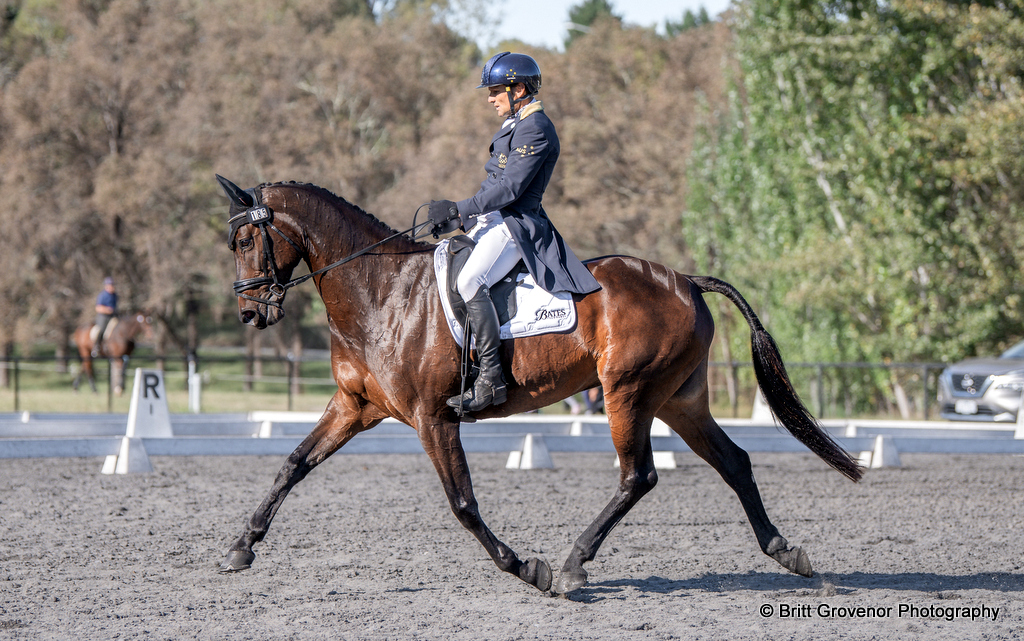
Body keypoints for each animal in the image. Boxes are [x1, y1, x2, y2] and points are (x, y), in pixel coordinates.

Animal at [215, 176, 862, 594]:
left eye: (246, 241)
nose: (249, 314)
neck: (381, 292)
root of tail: (684, 280)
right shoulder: (354, 406)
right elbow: (293, 464)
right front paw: (240, 548)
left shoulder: (432, 417)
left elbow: (463, 503)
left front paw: (525, 567)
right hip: (679, 401)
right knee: (734, 462)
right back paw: (787, 553)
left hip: (628, 393)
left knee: (639, 476)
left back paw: (573, 565)